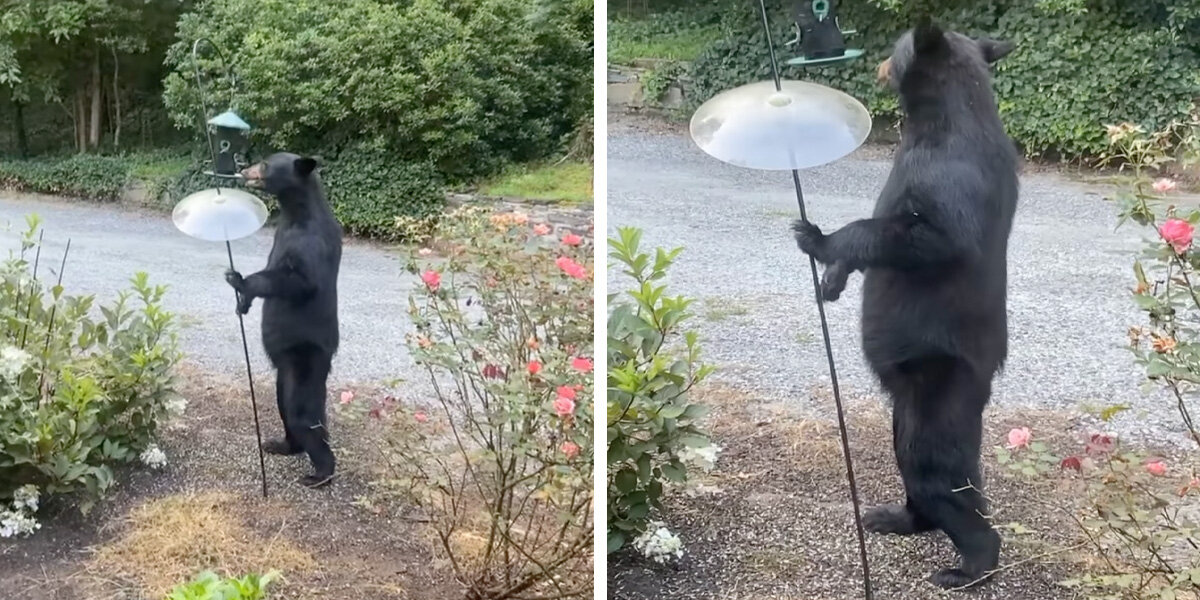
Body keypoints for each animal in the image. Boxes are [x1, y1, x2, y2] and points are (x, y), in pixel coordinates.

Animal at [225, 150, 343, 487]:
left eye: (265, 164)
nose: (243, 170)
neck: (295, 214)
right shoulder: (279, 237)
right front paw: (243, 304)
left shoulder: (310, 243)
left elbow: (299, 280)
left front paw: (241, 282)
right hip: (284, 373)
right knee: (284, 408)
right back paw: (282, 444)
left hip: (305, 357)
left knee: (301, 413)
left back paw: (321, 472)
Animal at [792, 21, 1017, 588]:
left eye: (895, 49)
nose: (877, 63)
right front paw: (831, 282)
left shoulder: (949, 175)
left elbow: (926, 234)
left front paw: (819, 239)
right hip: (906, 410)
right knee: (921, 478)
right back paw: (894, 517)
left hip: (936, 389)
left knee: (937, 475)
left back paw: (969, 567)